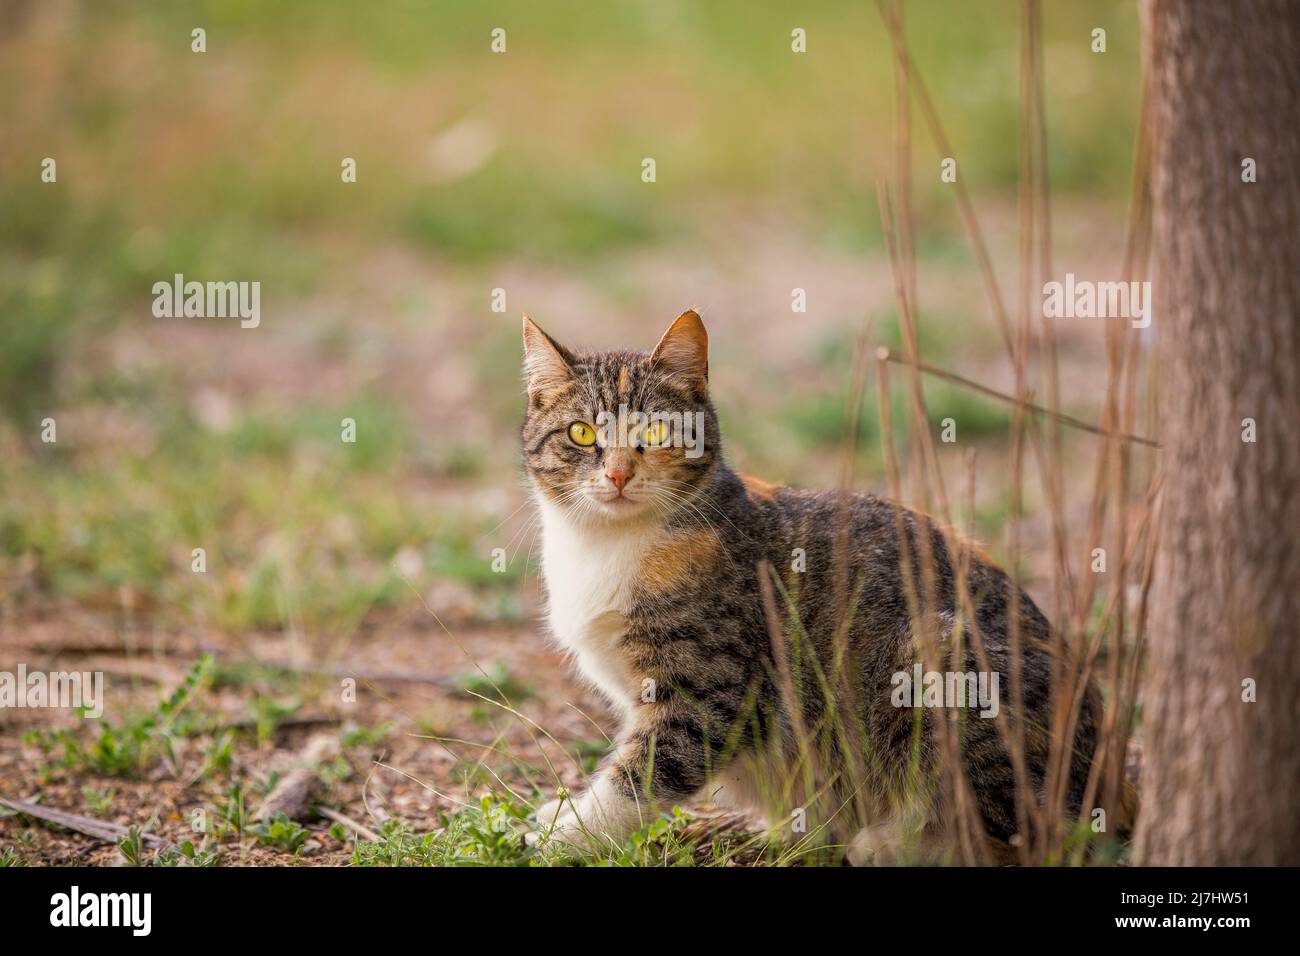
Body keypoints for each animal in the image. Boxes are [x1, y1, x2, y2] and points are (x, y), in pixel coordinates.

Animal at [517, 310, 1097, 863]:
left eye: (658, 433)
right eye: (581, 434)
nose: (618, 475)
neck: (606, 545)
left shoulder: (712, 692)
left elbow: (641, 776)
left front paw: (568, 836)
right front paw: (559, 816)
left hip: (936, 658)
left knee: (1031, 831)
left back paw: (893, 843)